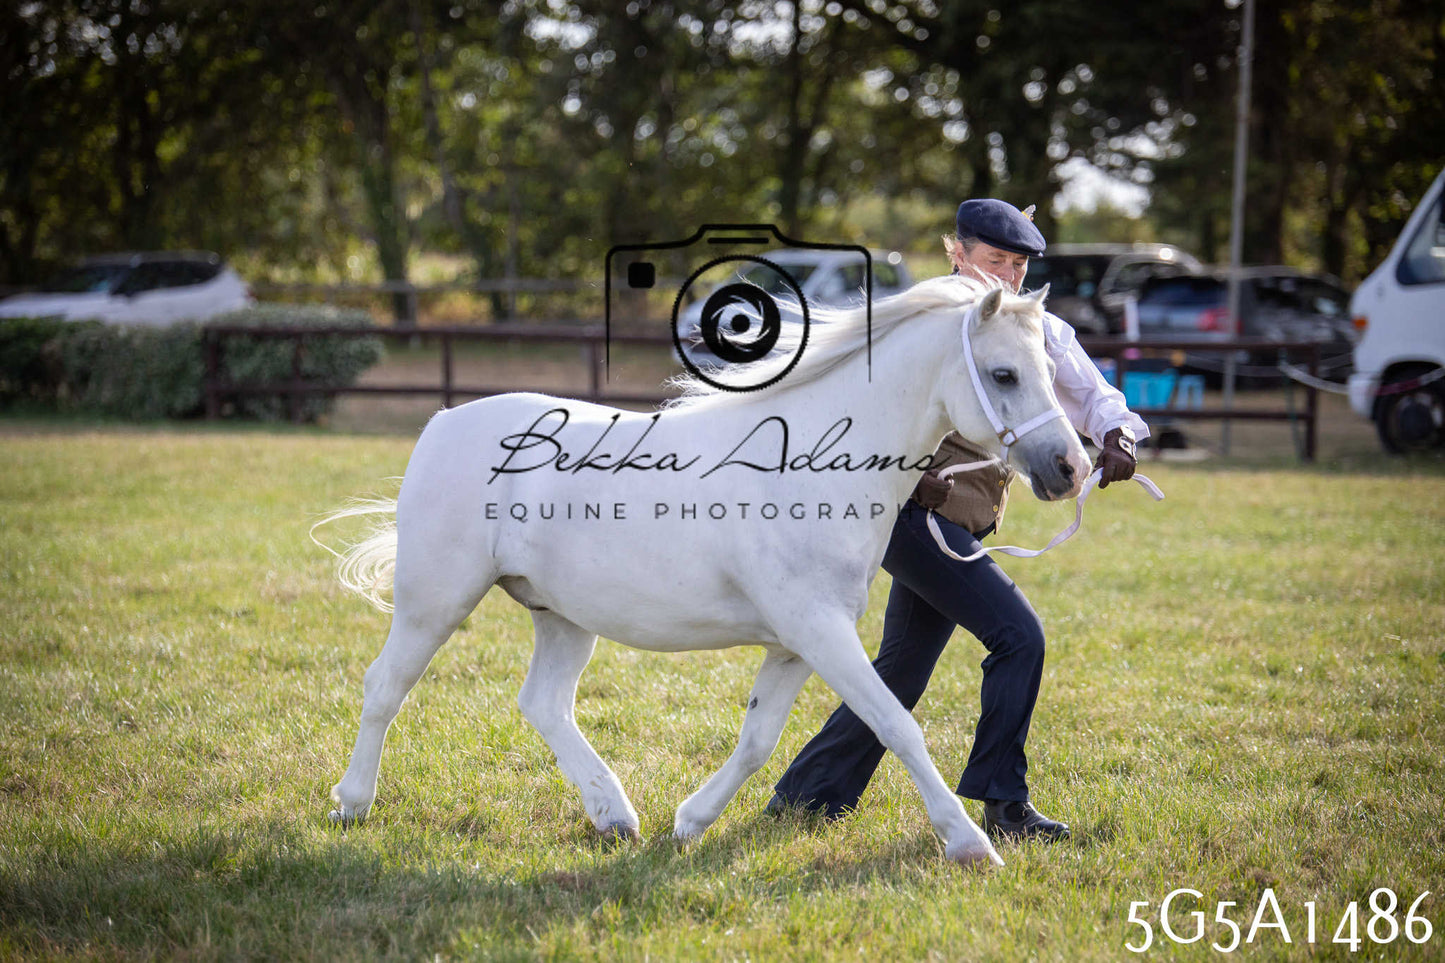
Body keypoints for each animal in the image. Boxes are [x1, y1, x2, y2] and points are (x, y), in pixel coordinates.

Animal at [318, 275, 1089, 869]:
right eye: (1004, 374)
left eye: (1052, 372)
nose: (1070, 468)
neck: (812, 468)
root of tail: (443, 421)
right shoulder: (819, 632)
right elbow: (896, 724)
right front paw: (968, 844)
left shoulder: (795, 644)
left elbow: (757, 741)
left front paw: (689, 822)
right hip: (436, 602)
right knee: (384, 687)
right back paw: (352, 805)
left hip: (562, 616)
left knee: (543, 703)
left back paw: (615, 816)